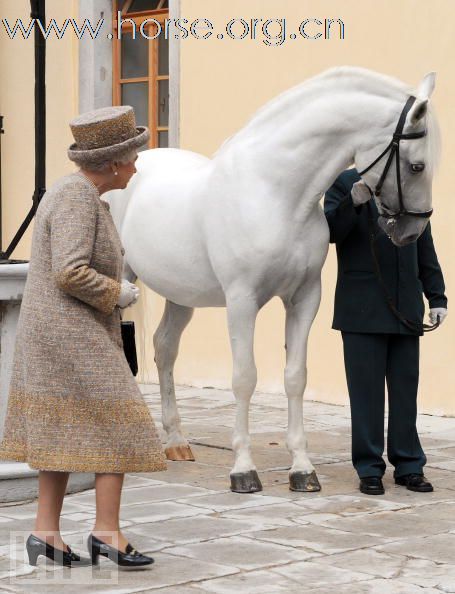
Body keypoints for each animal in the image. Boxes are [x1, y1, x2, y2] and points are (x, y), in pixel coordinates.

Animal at [107, 66, 442, 490]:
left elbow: (295, 376)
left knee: (164, 348)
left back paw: (177, 442)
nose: (412, 233)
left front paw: (302, 468)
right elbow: (244, 378)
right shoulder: (242, 301)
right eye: (416, 166)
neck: (276, 193)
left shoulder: (304, 298)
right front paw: (243, 469)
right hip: (119, 281)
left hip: (181, 294)